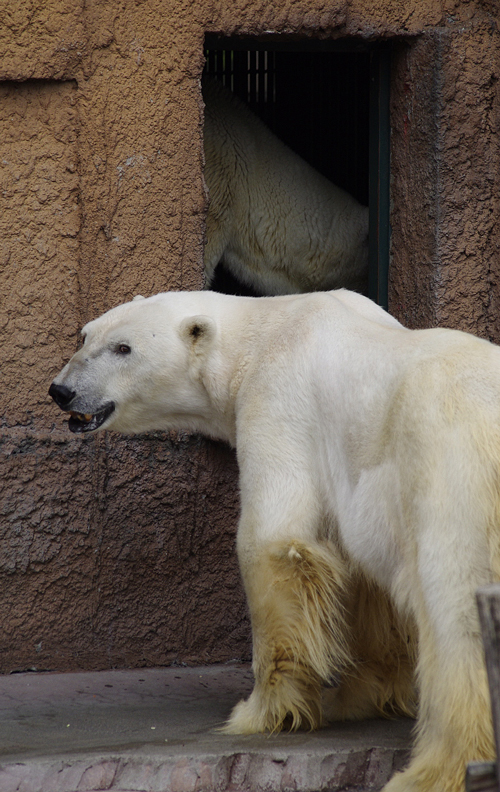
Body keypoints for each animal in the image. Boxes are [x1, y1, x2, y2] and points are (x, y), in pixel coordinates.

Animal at [48, 290, 498, 792]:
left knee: (456, 612)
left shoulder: (278, 402)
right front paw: (360, 693)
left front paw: (262, 711)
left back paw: (435, 769)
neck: (261, 331)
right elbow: (363, 581)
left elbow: (271, 540)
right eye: (85, 335)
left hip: (452, 470)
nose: (62, 391)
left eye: (124, 348)